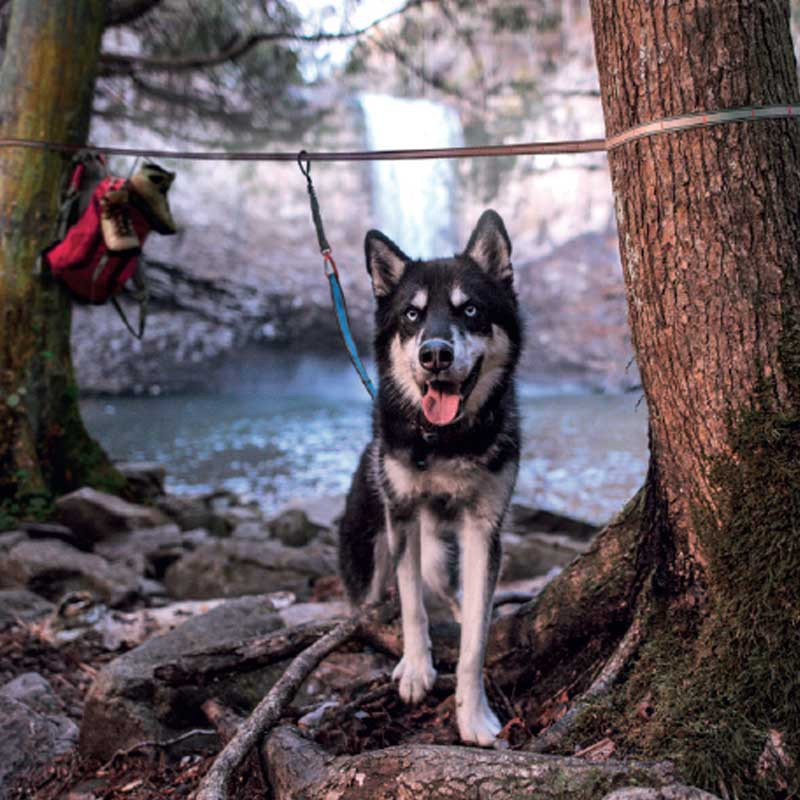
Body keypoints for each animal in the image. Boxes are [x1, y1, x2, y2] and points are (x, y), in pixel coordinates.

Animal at [336, 208, 520, 744]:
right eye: (412, 315)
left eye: (471, 310)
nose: (434, 354)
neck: (446, 442)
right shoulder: (402, 518)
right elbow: (412, 605)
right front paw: (416, 669)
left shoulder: (484, 530)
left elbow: (475, 635)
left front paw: (473, 715)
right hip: (370, 562)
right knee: (378, 603)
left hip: (442, 558)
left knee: (451, 594)